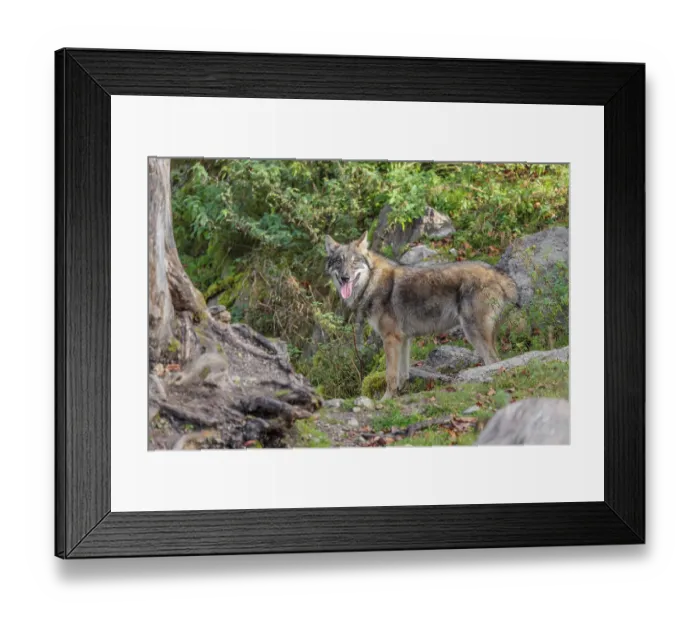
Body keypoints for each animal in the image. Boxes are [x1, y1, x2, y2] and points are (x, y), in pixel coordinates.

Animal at [325, 232, 519, 400]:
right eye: (339, 262)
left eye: (354, 262)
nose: (345, 278)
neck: (373, 282)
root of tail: (497, 271)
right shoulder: (403, 339)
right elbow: (402, 374)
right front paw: (398, 395)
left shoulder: (390, 338)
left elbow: (390, 375)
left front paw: (385, 400)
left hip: (473, 334)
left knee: (494, 361)